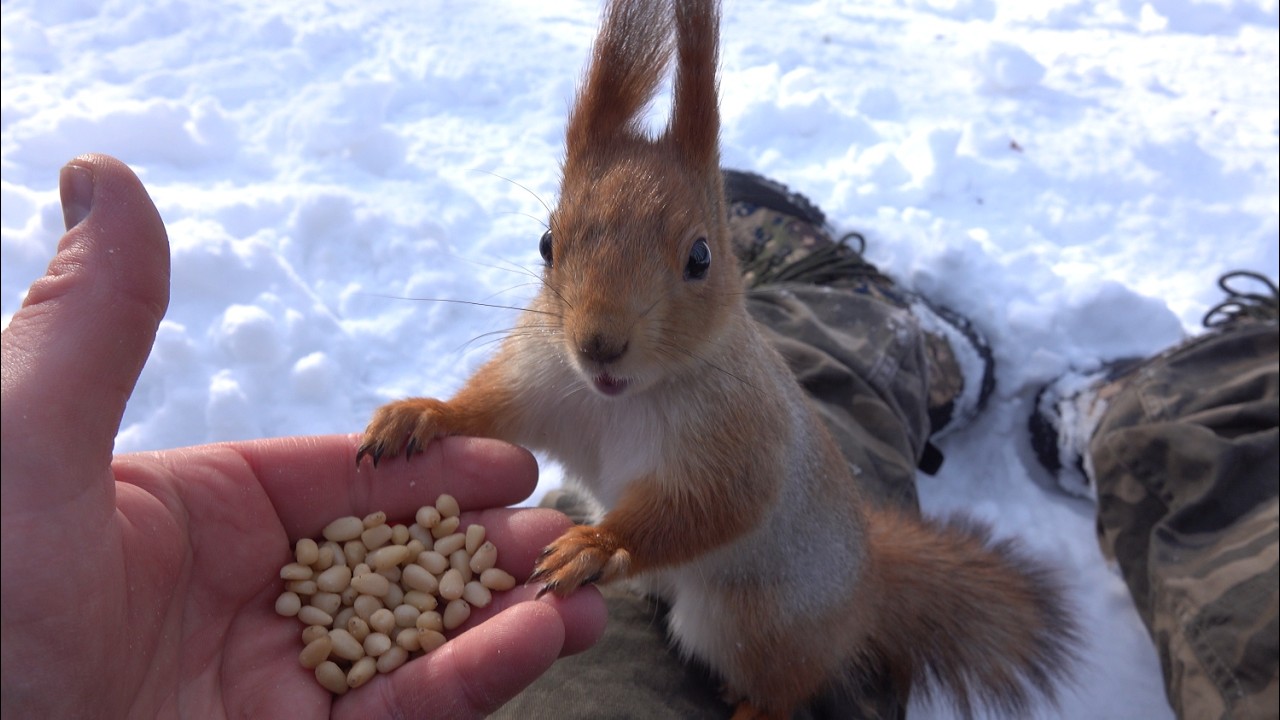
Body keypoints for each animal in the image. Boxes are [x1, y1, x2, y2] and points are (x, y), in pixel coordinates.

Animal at [358, 0, 1078, 717]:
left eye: (701, 256)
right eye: (545, 243)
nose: (599, 346)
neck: (620, 400)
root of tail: (868, 591)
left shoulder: (739, 442)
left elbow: (717, 507)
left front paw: (597, 546)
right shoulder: (544, 381)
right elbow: (493, 412)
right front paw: (419, 416)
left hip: (743, 621)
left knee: (785, 687)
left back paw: (750, 706)